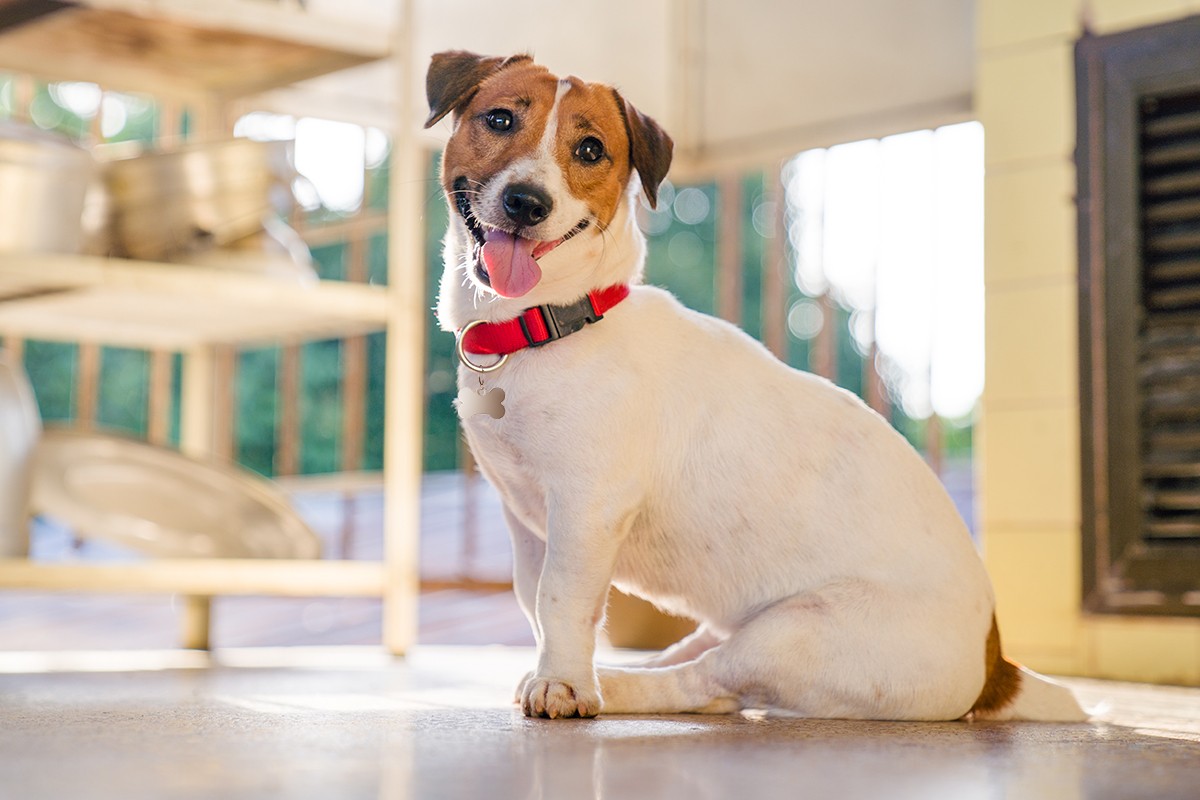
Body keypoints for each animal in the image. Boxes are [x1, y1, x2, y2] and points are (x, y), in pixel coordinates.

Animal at [424, 50, 1089, 724]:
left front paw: (562, 685)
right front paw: (556, 670)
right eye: (500, 119)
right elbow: (534, 602)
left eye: (590, 150)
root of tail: (995, 665)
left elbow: (561, 601)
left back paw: (617, 685)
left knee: (709, 687)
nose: (526, 202)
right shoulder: (526, 520)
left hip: (796, 632)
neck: (549, 324)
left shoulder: (586, 509)